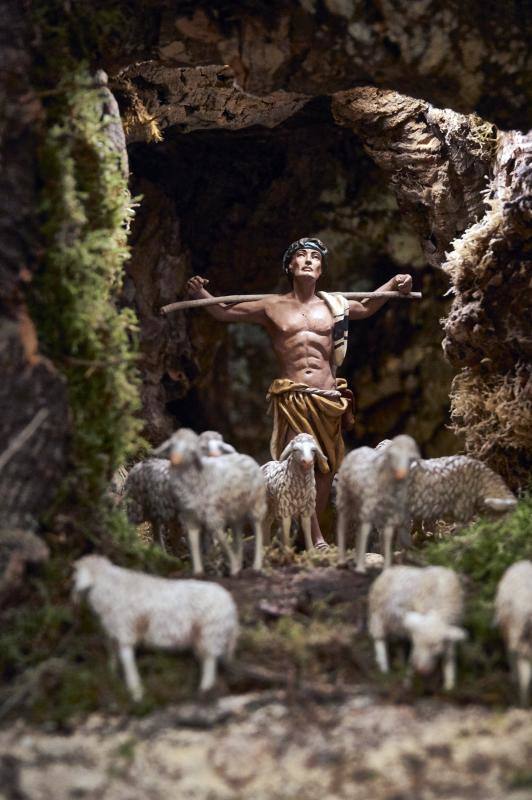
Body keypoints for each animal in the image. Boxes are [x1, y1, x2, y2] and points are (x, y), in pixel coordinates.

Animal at [71, 556, 238, 700]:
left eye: (77, 573)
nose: (74, 595)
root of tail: (230, 604)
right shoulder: (113, 633)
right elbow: (113, 657)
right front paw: (112, 677)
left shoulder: (126, 631)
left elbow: (127, 661)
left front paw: (136, 692)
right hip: (203, 636)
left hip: (211, 633)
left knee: (210, 663)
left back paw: (205, 690)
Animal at [157, 428, 266, 580]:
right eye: (173, 445)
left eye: (192, 449)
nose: (175, 458)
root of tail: (246, 456)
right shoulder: (190, 518)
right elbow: (194, 541)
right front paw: (198, 571)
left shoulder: (213, 516)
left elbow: (221, 540)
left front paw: (232, 567)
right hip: (235, 511)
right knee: (238, 533)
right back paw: (239, 563)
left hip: (256, 504)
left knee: (258, 528)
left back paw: (256, 566)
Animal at [368, 564, 468, 692]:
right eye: (417, 644)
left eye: (435, 646)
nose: (422, 670)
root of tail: (389, 570)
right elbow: (412, 659)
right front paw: (408, 683)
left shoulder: (452, 628)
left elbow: (449, 657)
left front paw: (449, 686)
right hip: (377, 616)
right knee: (379, 640)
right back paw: (384, 668)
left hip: (396, 626)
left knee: (399, 644)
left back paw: (400, 664)